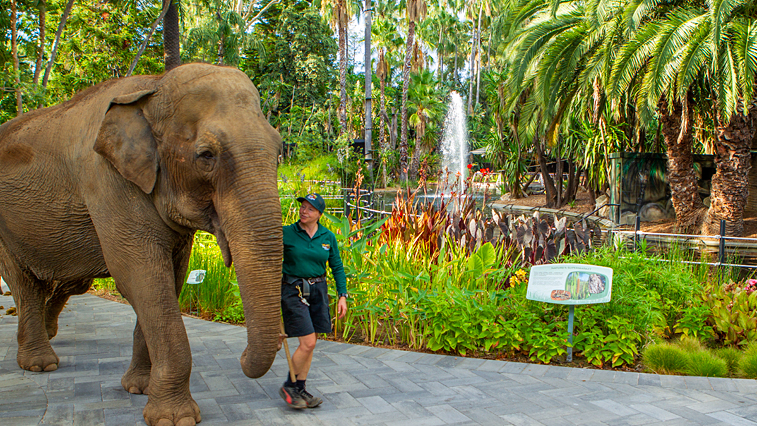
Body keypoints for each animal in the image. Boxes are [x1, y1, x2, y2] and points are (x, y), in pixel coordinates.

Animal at [0, 64, 282, 426]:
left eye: (279, 151)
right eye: (206, 156)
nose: (244, 357)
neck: (153, 87)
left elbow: (172, 276)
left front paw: (139, 388)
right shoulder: (107, 181)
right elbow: (140, 275)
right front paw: (174, 418)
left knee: (68, 283)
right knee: (25, 284)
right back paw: (40, 364)